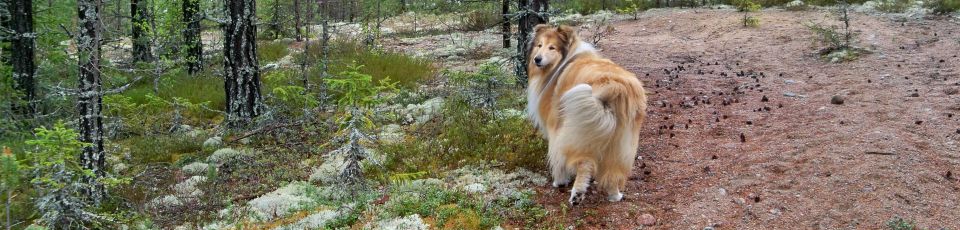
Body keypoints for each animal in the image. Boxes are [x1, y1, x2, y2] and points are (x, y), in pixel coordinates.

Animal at [528, 24, 648, 204]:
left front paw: (560, 181)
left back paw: (576, 194)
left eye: (552, 47)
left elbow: (558, 158)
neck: (563, 63)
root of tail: (615, 86)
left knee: (584, 163)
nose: (537, 59)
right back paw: (614, 195)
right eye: (539, 45)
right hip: (621, 139)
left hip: (581, 129)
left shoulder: (555, 126)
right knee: (612, 169)